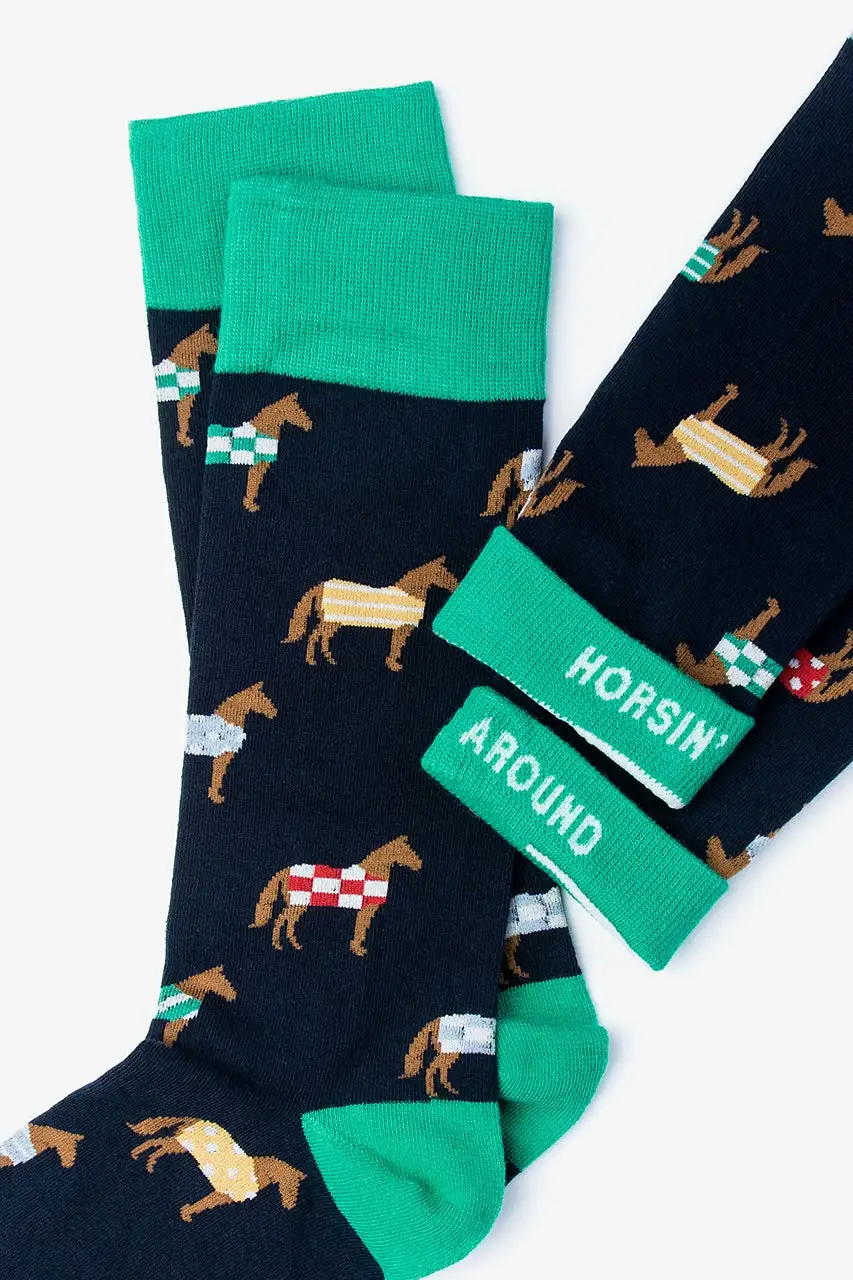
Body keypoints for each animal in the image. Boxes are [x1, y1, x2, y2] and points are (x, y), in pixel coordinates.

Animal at [128, 1117, 305, 1223]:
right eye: (291, 1188)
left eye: (296, 1190)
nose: (289, 1206)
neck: (259, 1173)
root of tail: (196, 1120)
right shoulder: (223, 1194)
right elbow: (202, 1203)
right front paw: (187, 1212)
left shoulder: (222, 1196)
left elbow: (203, 1203)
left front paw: (187, 1212)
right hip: (180, 1144)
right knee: (157, 1143)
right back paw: (142, 1158)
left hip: (178, 1146)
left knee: (159, 1146)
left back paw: (147, 1161)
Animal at [251, 835, 422, 958]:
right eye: (407, 851)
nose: (420, 864)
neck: (373, 874)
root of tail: (286, 871)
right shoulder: (366, 909)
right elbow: (360, 930)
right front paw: (358, 949)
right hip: (298, 903)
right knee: (281, 919)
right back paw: (278, 944)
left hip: (298, 905)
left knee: (289, 920)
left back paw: (294, 944)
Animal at [283, 557, 458, 672]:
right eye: (443, 572)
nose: (456, 585)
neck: (409, 595)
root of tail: (322, 585)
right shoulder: (401, 628)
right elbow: (396, 646)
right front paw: (393, 664)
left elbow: (396, 646)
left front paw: (392, 663)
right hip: (330, 621)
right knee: (314, 636)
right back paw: (312, 661)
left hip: (333, 622)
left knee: (323, 638)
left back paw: (329, 659)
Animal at [633, 384, 815, 498]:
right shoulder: (766, 459)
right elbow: (781, 448)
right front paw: (790, 435)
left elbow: (781, 449)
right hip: (704, 418)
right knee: (716, 406)